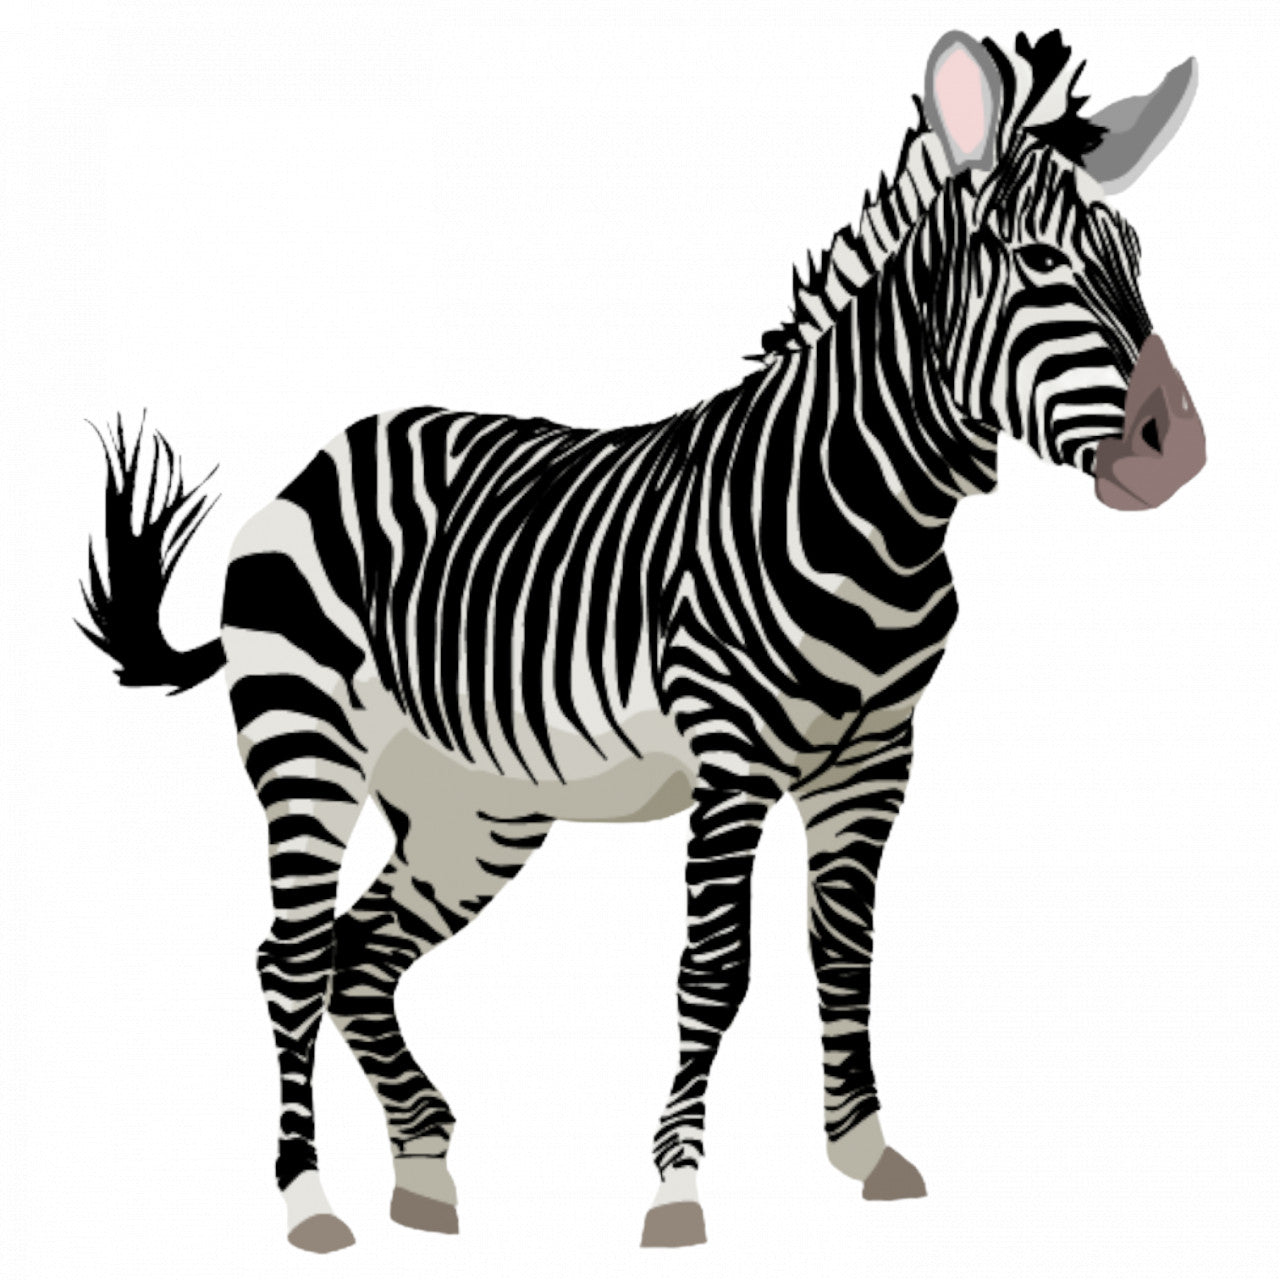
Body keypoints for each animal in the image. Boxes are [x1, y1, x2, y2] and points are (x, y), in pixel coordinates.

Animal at [79, 29, 1205, 1253]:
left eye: (1136, 256)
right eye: (1036, 261)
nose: (1180, 449)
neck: (869, 514)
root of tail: (320, 457)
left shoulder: (872, 763)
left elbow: (843, 949)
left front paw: (862, 1147)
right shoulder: (732, 758)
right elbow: (714, 969)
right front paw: (677, 1190)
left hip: (473, 809)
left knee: (359, 953)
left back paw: (423, 1168)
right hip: (306, 744)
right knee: (288, 959)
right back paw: (309, 1201)